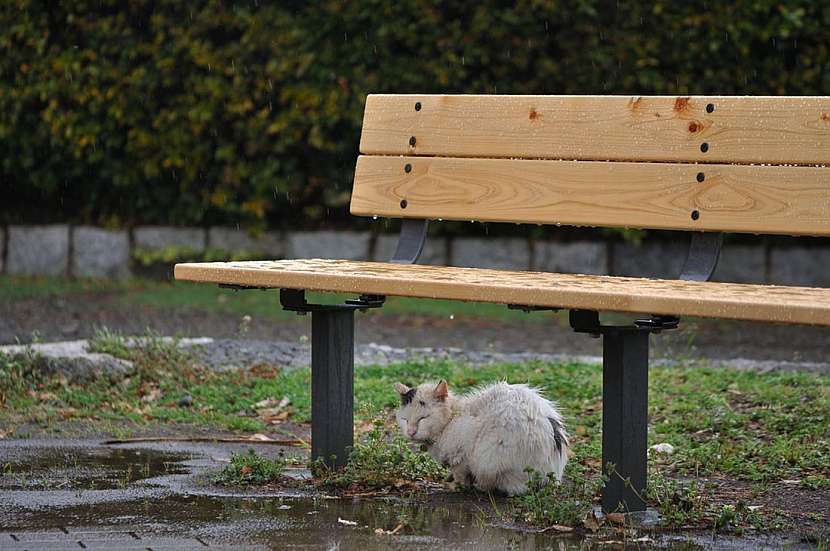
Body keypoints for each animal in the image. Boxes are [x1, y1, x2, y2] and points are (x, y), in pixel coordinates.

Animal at [394, 380, 568, 496]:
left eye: (423, 418)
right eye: (405, 420)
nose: (411, 431)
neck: (451, 419)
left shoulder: (460, 457)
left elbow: (461, 475)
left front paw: (456, 486)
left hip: (490, 457)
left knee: (514, 488)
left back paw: (486, 487)